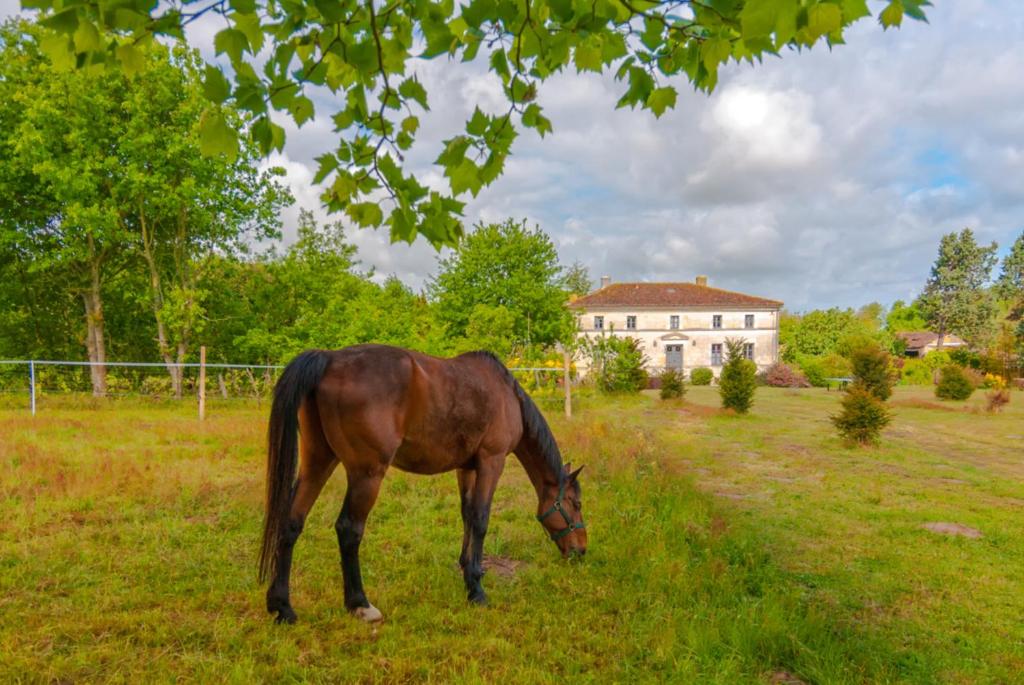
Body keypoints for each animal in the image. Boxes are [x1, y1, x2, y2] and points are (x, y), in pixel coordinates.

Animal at [260, 344, 589, 622]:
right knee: (348, 530)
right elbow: (481, 519)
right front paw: (477, 590)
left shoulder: (466, 468)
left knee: (291, 522)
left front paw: (468, 571)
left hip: (318, 462)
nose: (581, 550)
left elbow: (467, 516)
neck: (508, 396)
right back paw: (359, 604)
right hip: (366, 474)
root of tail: (329, 359)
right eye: (575, 503)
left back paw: (282, 607)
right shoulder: (491, 462)